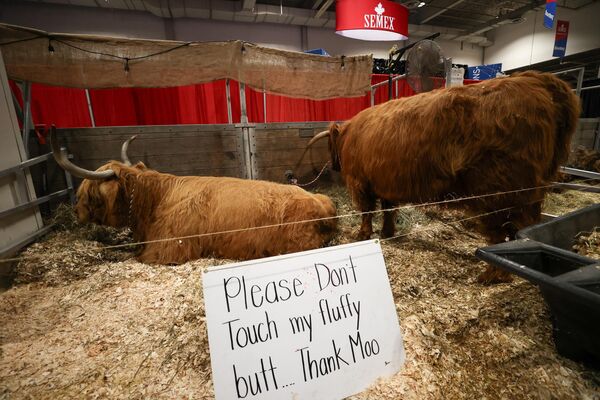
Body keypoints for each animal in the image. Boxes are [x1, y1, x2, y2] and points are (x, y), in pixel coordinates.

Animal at [308, 72, 580, 284]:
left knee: (505, 236)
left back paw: (492, 276)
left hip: (498, 194)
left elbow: (366, 212)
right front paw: (388, 232)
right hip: (525, 195)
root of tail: (535, 79)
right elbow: (388, 210)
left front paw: (363, 234)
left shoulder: (360, 182)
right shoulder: (386, 184)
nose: (333, 165)